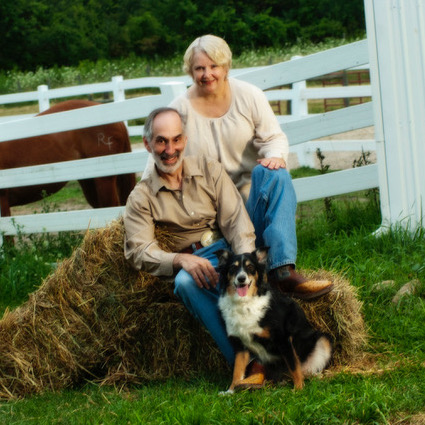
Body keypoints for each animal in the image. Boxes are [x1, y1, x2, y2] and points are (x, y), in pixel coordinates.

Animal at [215, 247, 332, 392]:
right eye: (232, 268)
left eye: (250, 267)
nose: (241, 279)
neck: (244, 303)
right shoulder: (240, 345)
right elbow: (237, 370)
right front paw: (230, 391)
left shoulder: (283, 339)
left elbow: (294, 365)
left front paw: (298, 389)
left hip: (324, 340)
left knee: (306, 369)